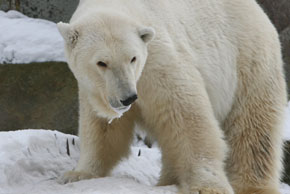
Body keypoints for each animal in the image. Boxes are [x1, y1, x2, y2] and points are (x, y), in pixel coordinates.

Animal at [57, 0, 288, 193]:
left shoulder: (159, 60)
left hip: (248, 63)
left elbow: (186, 116)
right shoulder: (95, 89)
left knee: (253, 130)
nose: (128, 98)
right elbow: (103, 128)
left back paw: (252, 186)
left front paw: (207, 187)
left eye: (133, 58)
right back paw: (168, 180)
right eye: (101, 63)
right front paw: (77, 174)